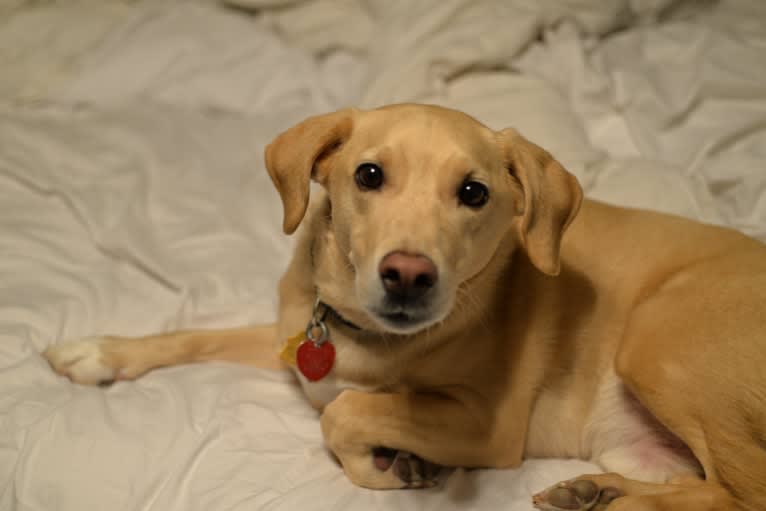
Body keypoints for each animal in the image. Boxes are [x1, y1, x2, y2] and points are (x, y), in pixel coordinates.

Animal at [43, 105, 766, 511]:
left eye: (474, 192)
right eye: (368, 175)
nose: (408, 276)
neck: (355, 333)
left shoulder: (488, 426)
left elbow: (344, 410)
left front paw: (387, 463)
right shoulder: (290, 336)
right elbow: (192, 336)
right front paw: (100, 352)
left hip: (658, 340)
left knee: (743, 495)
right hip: (644, 441)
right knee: (707, 491)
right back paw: (592, 493)